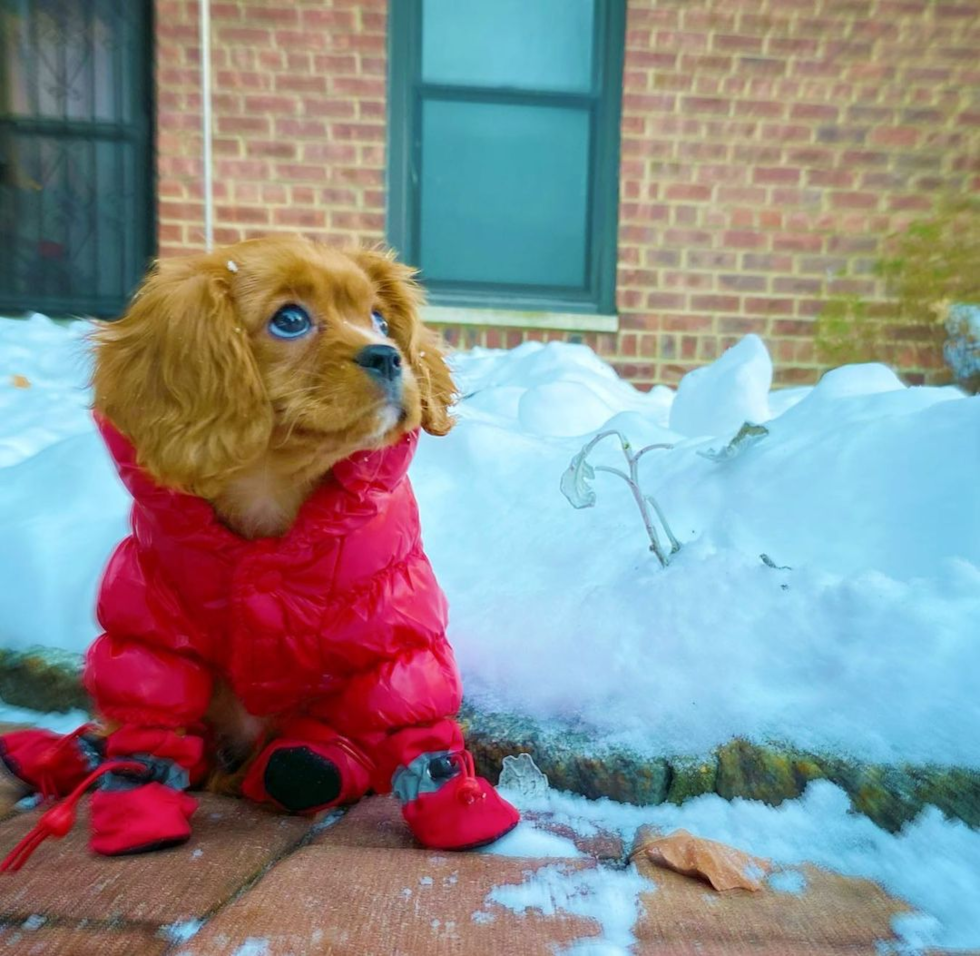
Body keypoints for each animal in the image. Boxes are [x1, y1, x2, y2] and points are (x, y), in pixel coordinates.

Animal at [0, 233, 520, 868]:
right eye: (289, 320)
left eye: (380, 319)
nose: (389, 356)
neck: (272, 487)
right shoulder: (152, 635)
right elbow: (150, 725)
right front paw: (136, 808)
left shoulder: (392, 629)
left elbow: (413, 711)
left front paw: (461, 810)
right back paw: (75, 754)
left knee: (307, 767)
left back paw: (298, 763)